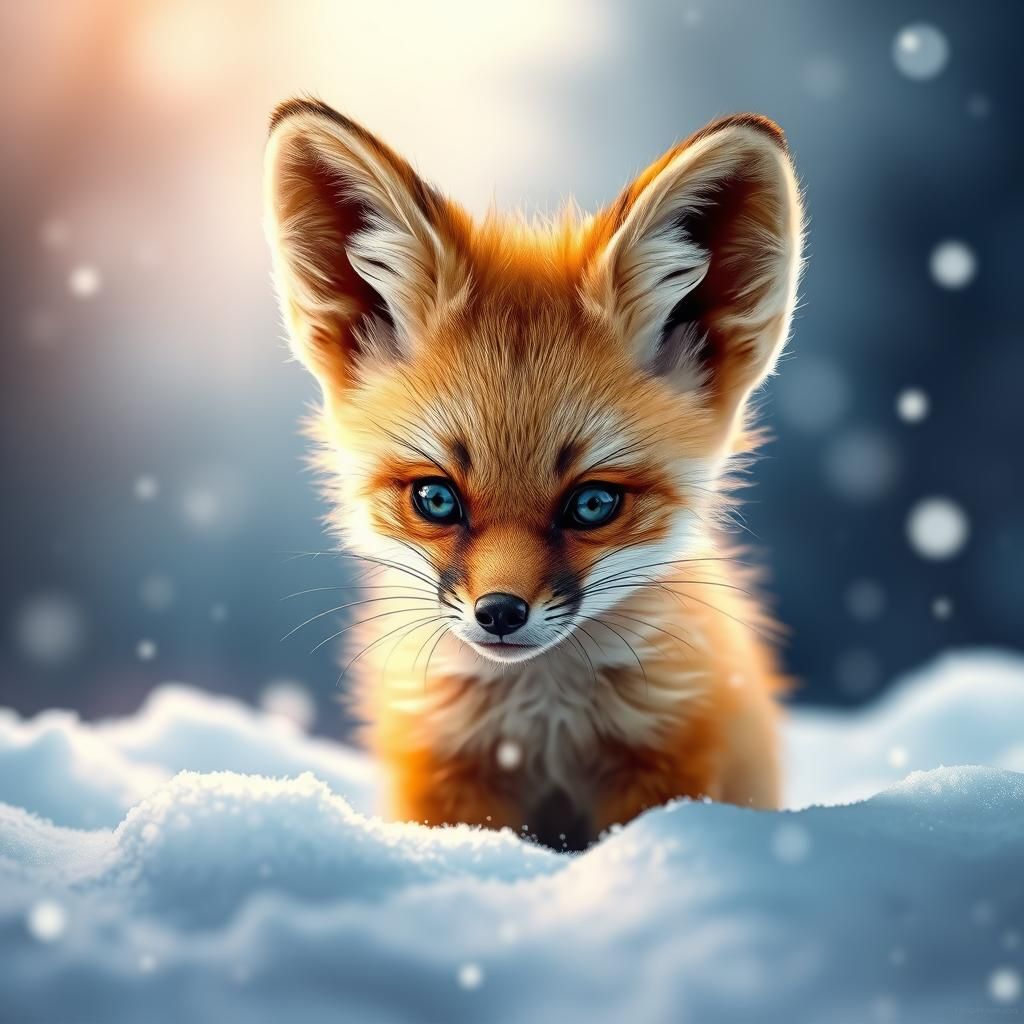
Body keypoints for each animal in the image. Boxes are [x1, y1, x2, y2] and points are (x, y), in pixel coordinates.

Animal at [263, 98, 804, 851]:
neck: (543, 723)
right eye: (435, 498)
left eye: (593, 504)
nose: (499, 613)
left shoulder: (669, 760)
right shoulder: (444, 775)